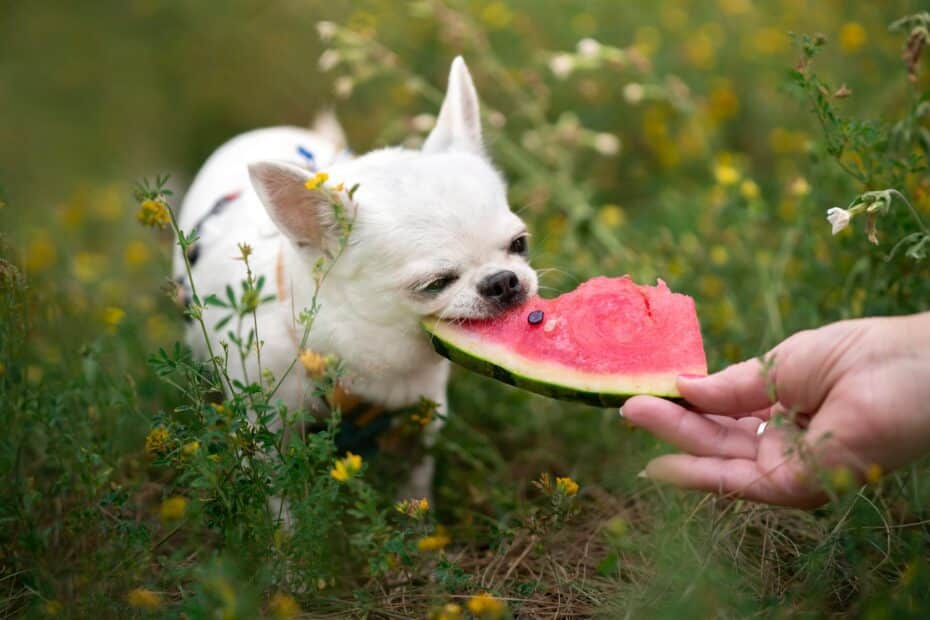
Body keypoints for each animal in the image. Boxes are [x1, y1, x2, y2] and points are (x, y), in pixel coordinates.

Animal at [174, 58, 536, 498]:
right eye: (435, 284)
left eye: (520, 244)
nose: (503, 281)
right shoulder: (267, 432)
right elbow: (278, 494)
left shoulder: (420, 415)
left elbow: (414, 484)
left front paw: (416, 514)